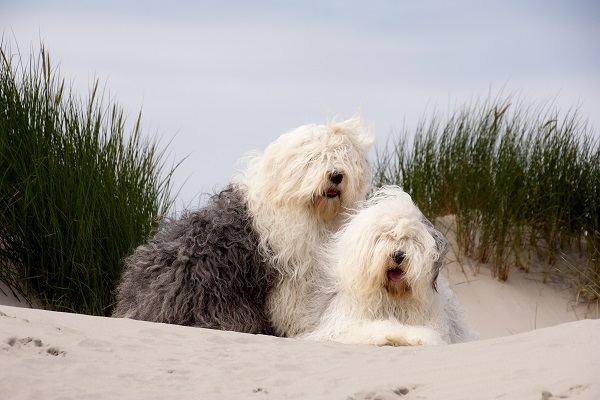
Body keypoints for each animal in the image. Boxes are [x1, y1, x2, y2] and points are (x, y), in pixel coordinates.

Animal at [300, 186, 478, 346]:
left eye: (411, 238)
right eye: (385, 235)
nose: (398, 256)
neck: (393, 299)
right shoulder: (339, 326)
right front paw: (393, 335)